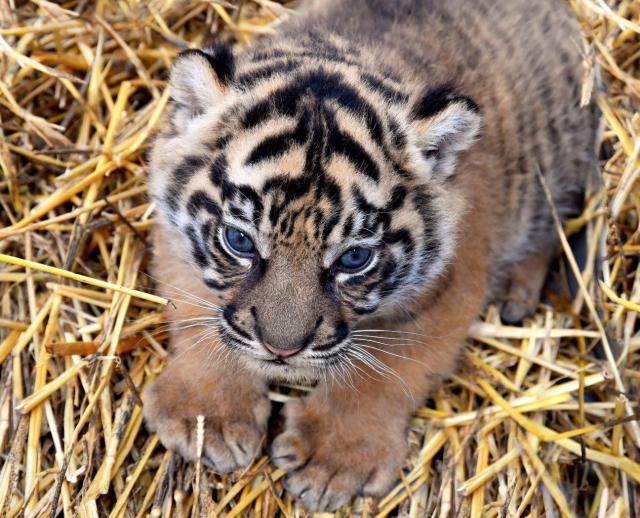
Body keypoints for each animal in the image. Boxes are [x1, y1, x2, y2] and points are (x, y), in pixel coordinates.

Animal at [143, 0, 598, 511]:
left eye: (354, 259)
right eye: (239, 241)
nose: (282, 350)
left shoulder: (448, 288)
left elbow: (382, 372)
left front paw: (332, 461)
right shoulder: (174, 234)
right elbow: (199, 314)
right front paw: (206, 415)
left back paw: (516, 297)